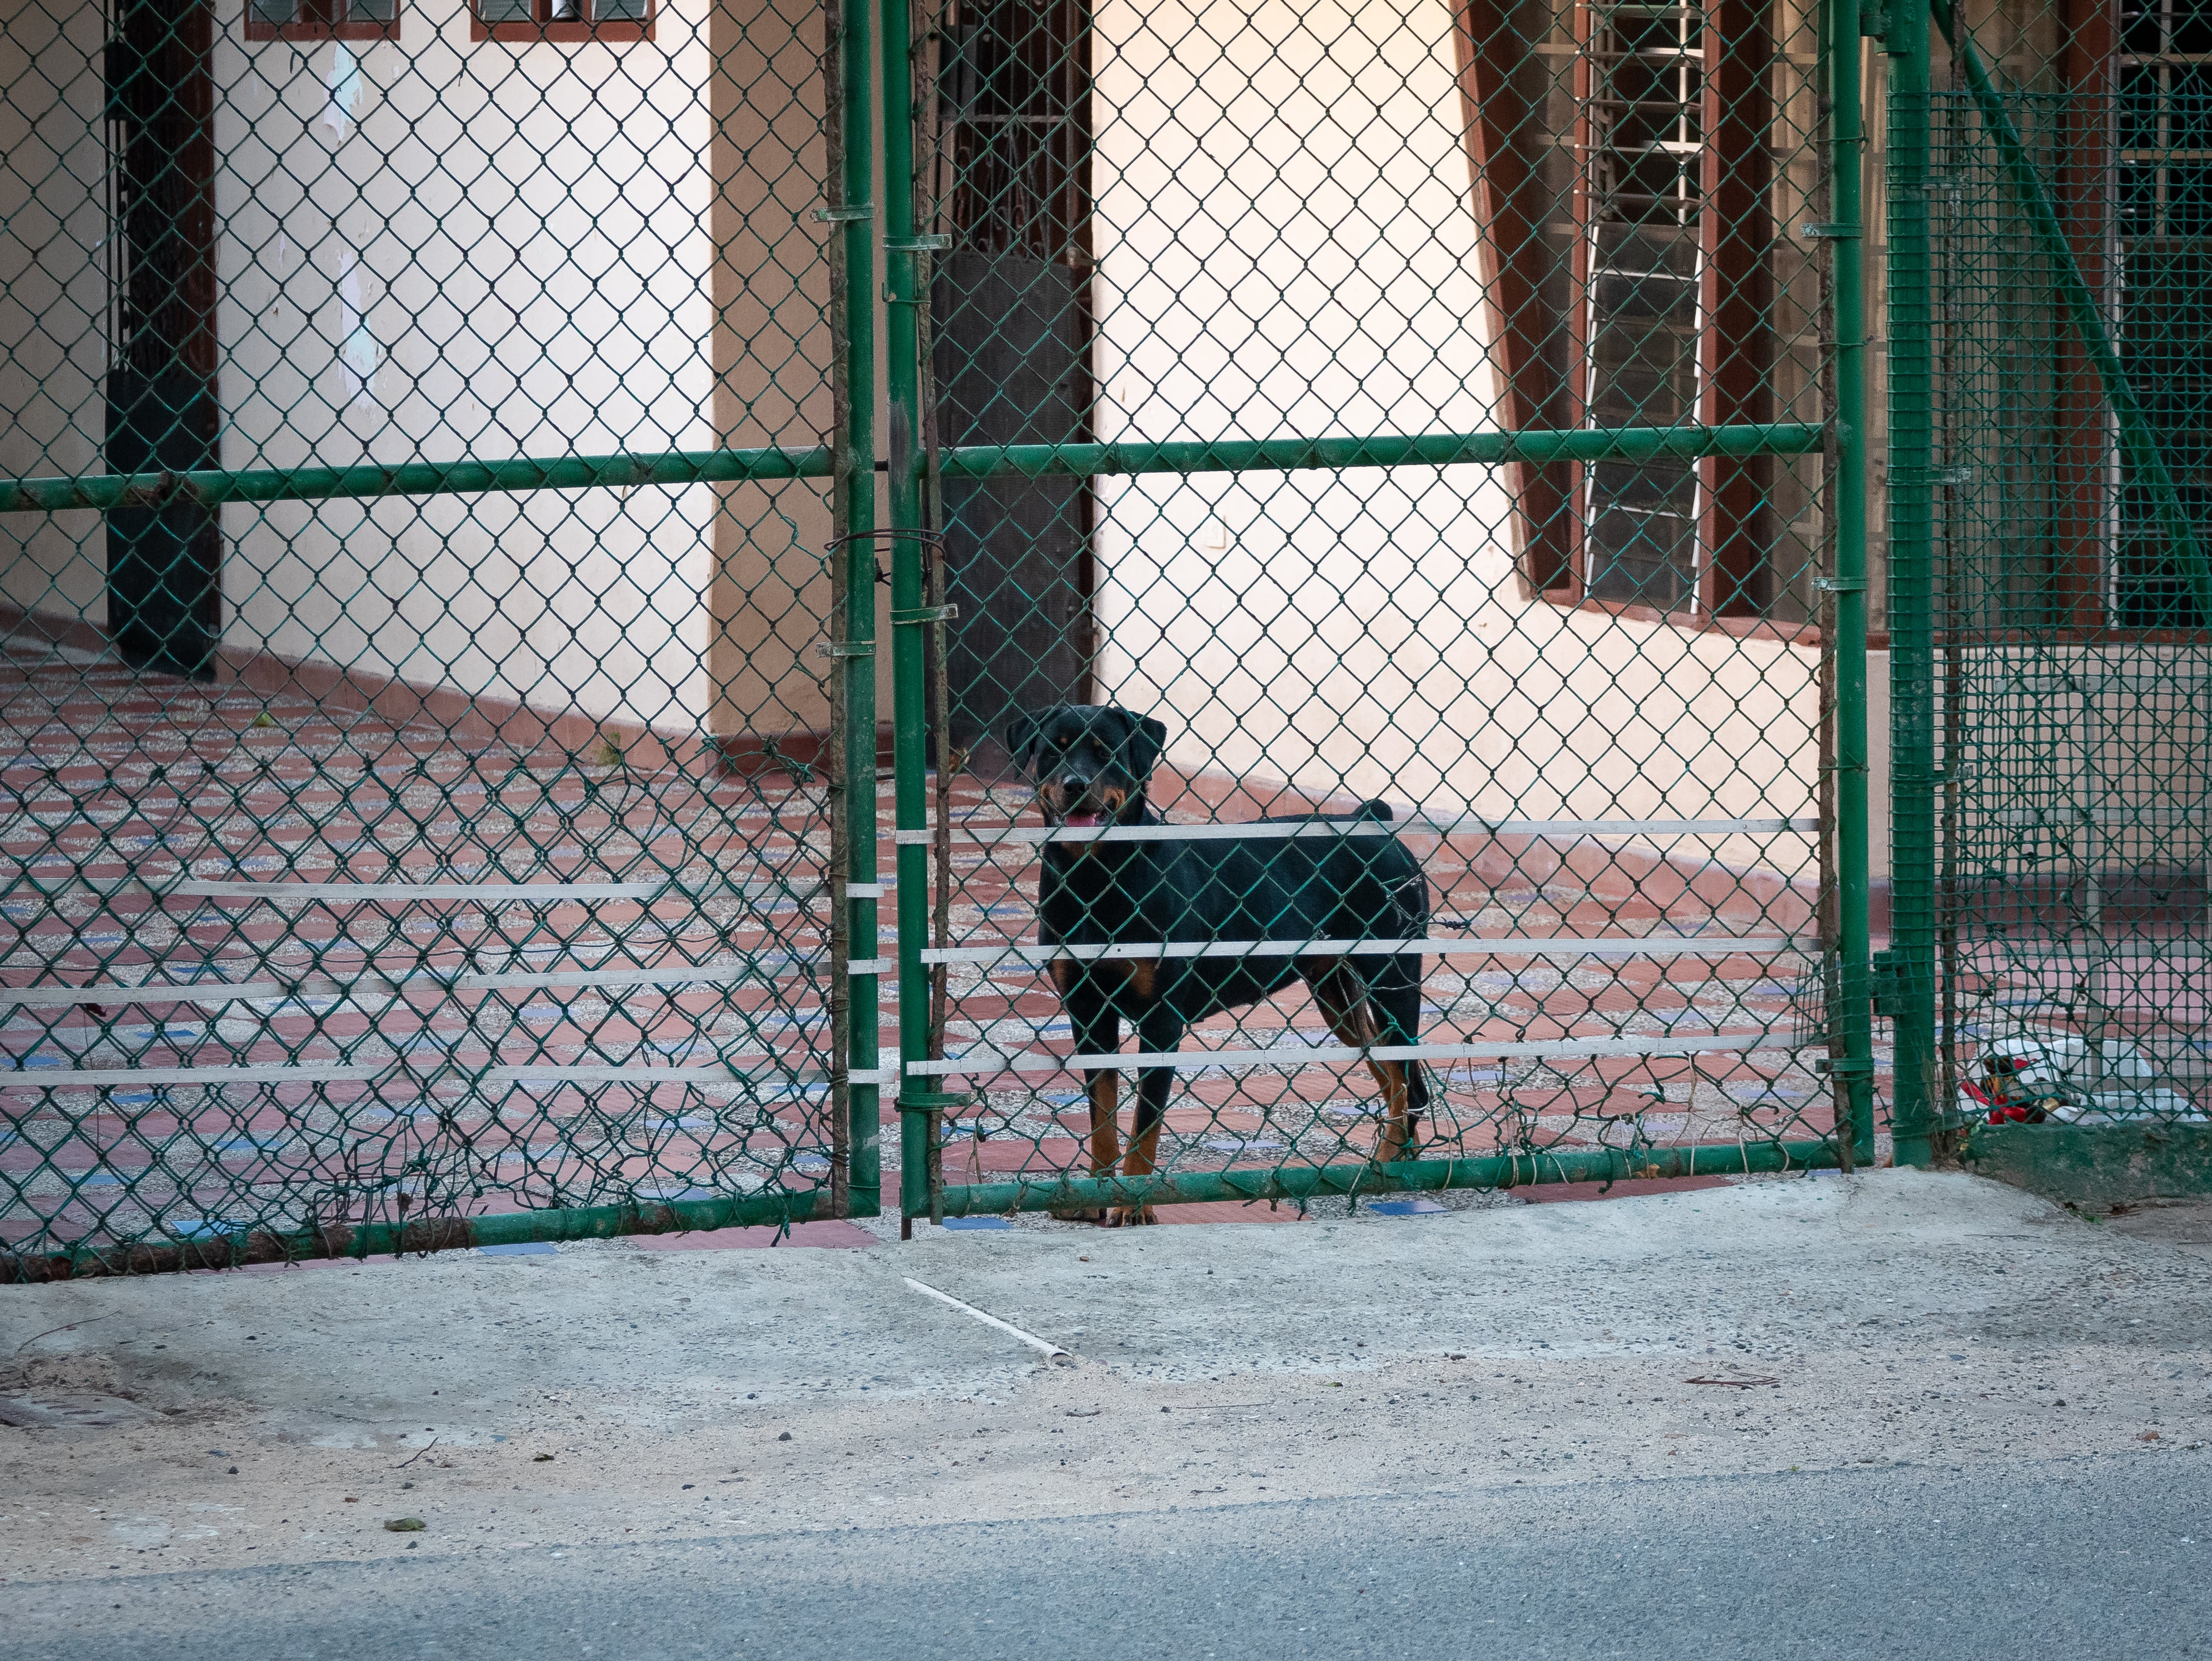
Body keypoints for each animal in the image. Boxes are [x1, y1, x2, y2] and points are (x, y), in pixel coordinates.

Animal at [1009, 703, 1433, 1221]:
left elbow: (1145, 1124)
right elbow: (1102, 1116)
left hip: (1392, 974)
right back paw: (1393, 1158)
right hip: (1336, 993)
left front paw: (1132, 1205)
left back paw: (1388, 1163)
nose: (1075, 784)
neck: (1096, 877)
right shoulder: (1088, 1013)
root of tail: (1373, 820)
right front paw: (1094, 1197)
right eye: (1055, 750)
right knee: (1392, 1073)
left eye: (1105, 752)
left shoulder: (1162, 1021)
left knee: (1407, 1076)